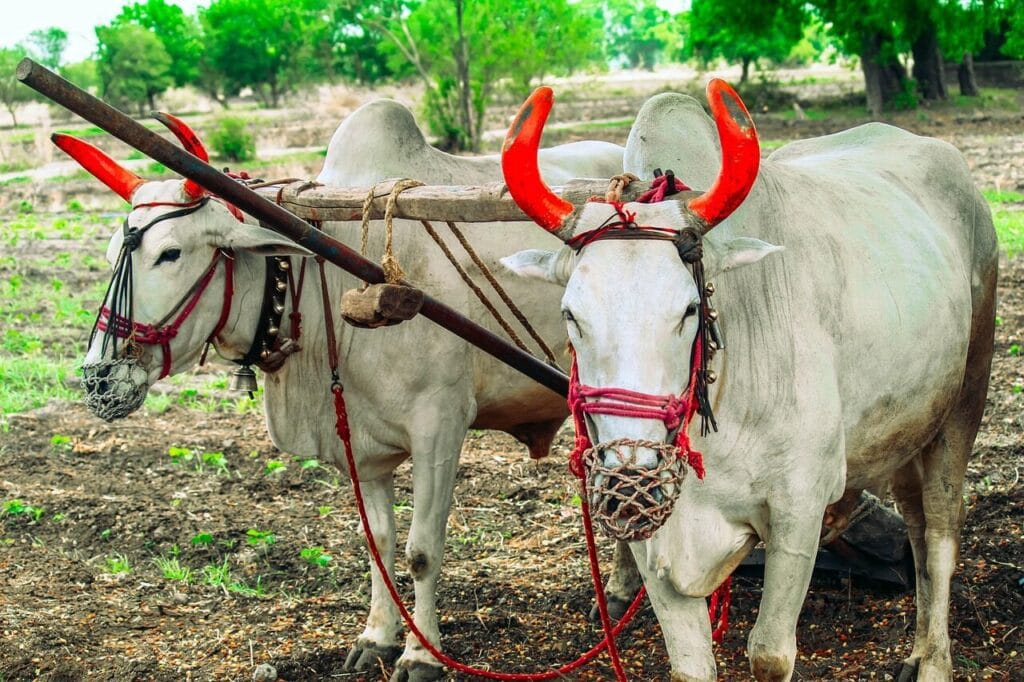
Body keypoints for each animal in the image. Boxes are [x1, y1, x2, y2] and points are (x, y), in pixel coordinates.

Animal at [58, 99, 624, 681]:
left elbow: (422, 549)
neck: (326, 273)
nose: (99, 380)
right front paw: (377, 638)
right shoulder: (363, 447)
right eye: (112, 250)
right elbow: (379, 542)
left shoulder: (439, 429)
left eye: (169, 254)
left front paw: (421, 655)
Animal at [499, 81, 997, 682]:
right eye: (570, 314)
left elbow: (769, 655)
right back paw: (919, 649)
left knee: (943, 529)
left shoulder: (798, 512)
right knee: (919, 527)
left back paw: (935, 661)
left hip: (965, 398)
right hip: (906, 429)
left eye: (689, 309)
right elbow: (691, 667)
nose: (630, 480)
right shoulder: (653, 542)